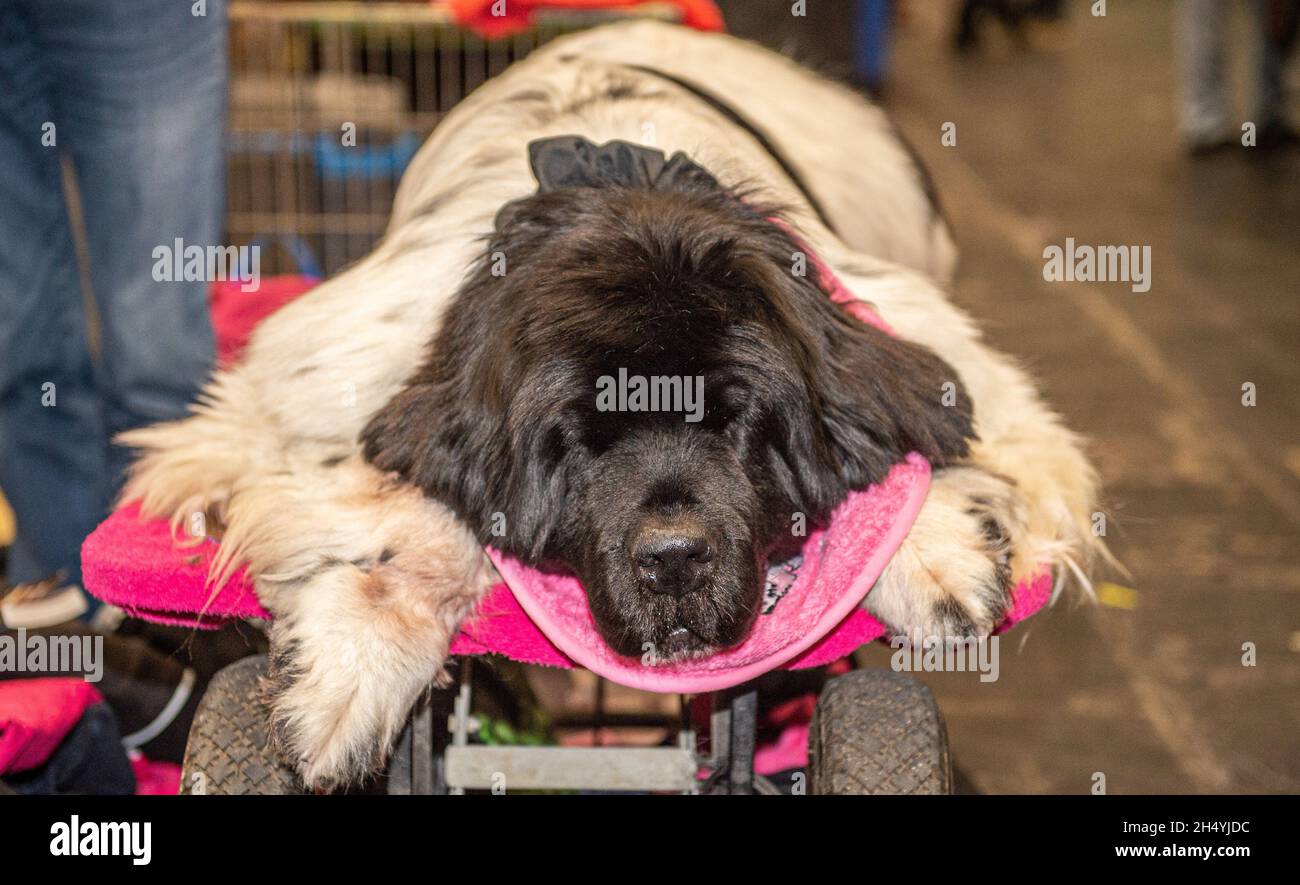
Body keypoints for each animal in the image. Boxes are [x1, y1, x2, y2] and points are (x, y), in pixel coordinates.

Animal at [116, 22, 1102, 784]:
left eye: (739, 420)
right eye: (576, 440)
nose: (673, 557)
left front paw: (937, 549)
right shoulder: (324, 379)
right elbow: (414, 509)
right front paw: (350, 669)